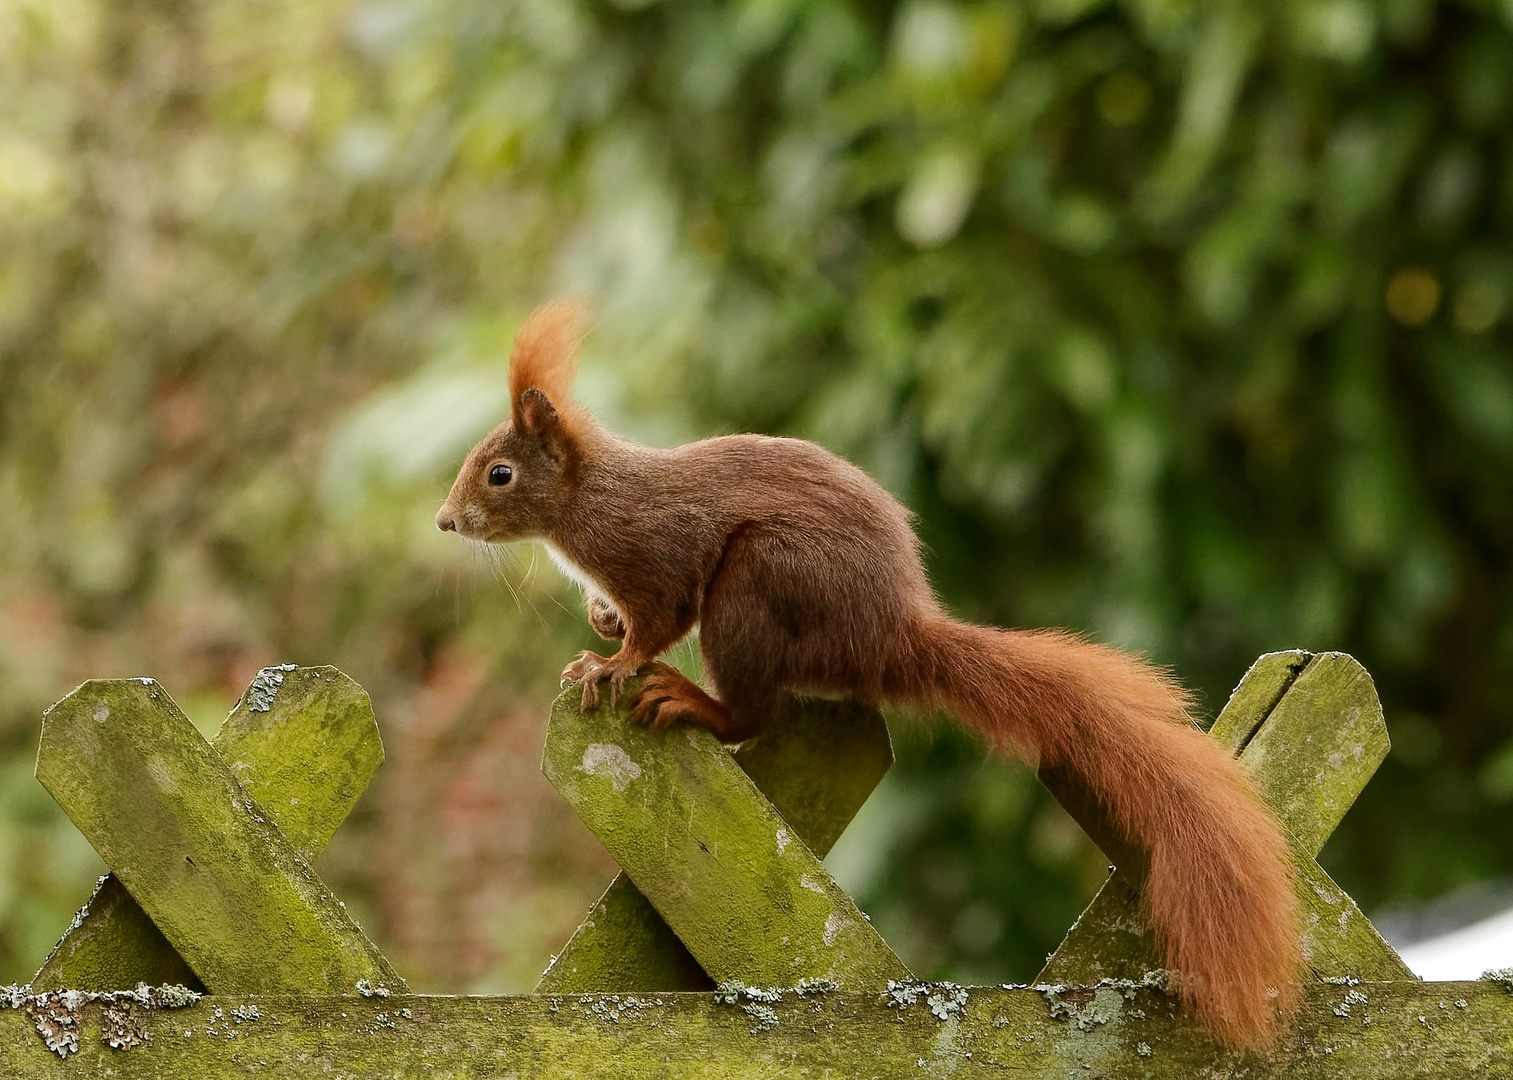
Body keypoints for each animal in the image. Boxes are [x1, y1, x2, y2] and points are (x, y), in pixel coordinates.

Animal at [438, 297, 1301, 1040]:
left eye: (499, 474)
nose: (446, 522)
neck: (586, 499)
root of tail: (891, 634)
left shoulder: (654, 551)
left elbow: (659, 619)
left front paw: (612, 662)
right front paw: (600, 619)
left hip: (759, 582)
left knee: (755, 711)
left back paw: (695, 701)